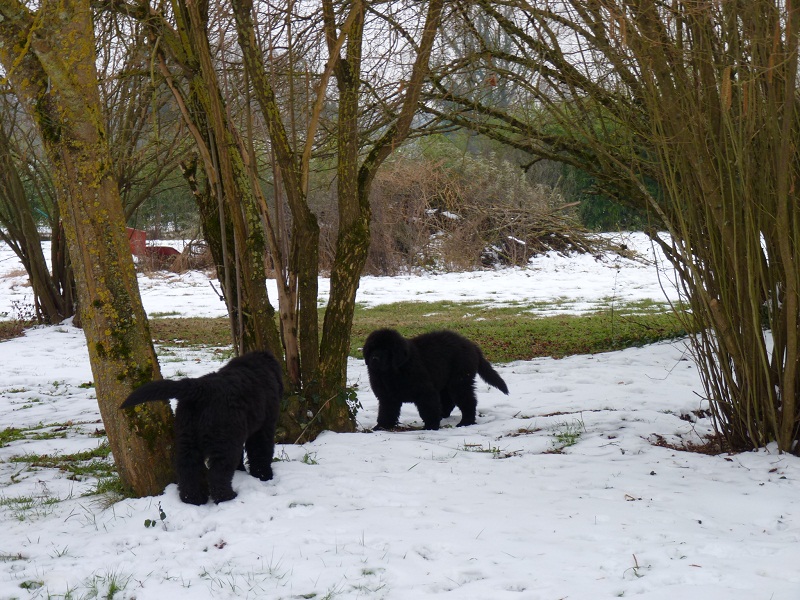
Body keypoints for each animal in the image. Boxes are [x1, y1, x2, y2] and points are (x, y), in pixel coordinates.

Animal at [117, 350, 282, 504]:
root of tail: (202, 388)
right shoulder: (263, 428)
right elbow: (261, 451)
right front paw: (264, 475)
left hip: (187, 438)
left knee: (188, 469)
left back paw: (193, 499)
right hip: (225, 442)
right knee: (218, 473)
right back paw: (227, 497)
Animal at [360, 328, 506, 432]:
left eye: (386, 349)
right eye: (372, 348)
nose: (374, 359)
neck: (392, 372)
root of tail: (472, 345)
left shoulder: (425, 391)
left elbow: (428, 409)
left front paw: (430, 426)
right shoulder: (387, 396)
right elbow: (386, 412)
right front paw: (381, 427)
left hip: (459, 381)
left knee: (468, 401)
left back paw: (465, 422)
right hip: (446, 382)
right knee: (448, 401)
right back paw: (444, 414)